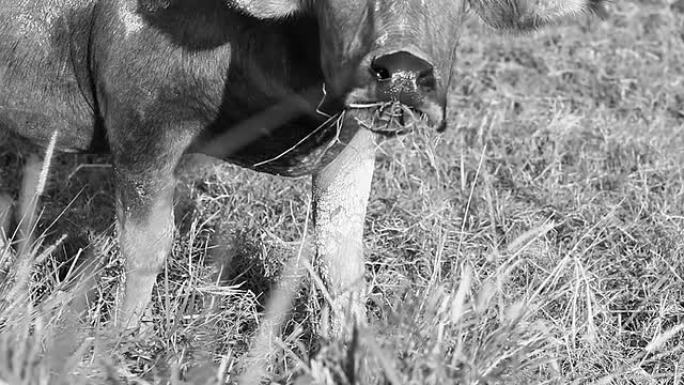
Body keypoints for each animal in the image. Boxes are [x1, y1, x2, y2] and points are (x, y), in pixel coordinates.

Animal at [0, 0, 608, 330]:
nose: (403, 69)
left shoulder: (354, 141)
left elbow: (342, 255)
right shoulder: (144, 126)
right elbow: (146, 246)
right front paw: (122, 339)